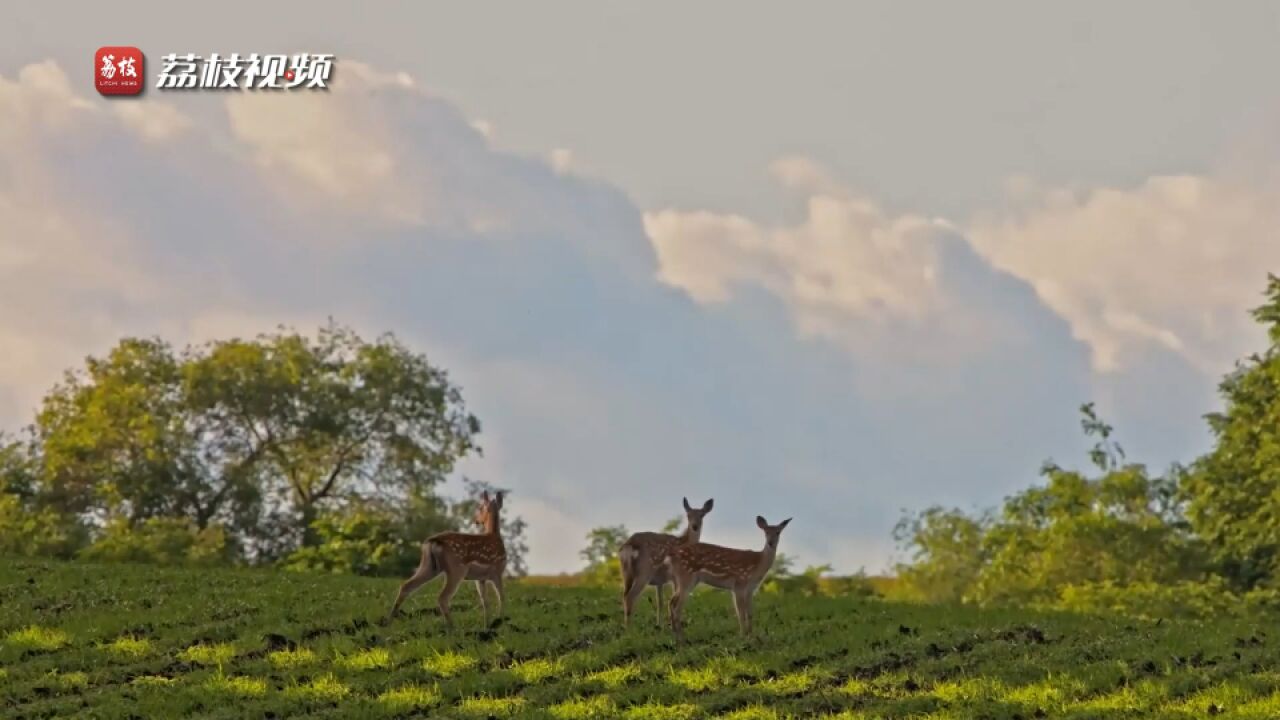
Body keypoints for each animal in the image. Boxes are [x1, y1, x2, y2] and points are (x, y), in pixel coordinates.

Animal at [386, 484, 506, 625]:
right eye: (480, 507)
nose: (476, 521)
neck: (495, 536)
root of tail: (432, 542)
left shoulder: (480, 578)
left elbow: (486, 602)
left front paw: (487, 624)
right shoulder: (497, 571)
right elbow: (501, 597)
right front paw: (500, 621)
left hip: (428, 566)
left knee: (406, 586)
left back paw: (388, 622)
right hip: (456, 569)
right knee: (442, 597)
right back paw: (452, 626)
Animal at [616, 497, 716, 625]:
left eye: (702, 515)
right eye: (688, 515)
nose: (695, 526)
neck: (684, 541)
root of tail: (629, 545)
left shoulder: (659, 581)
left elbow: (660, 602)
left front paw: (659, 625)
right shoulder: (675, 577)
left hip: (625, 573)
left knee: (624, 595)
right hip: (644, 572)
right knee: (630, 596)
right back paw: (629, 627)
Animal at [670, 512, 788, 640]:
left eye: (778, 532)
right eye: (765, 532)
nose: (771, 543)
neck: (758, 566)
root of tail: (672, 555)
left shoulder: (751, 589)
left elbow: (750, 613)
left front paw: (751, 635)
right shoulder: (739, 583)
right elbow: (741, 613)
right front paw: (743, 636)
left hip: (688, 580)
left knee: (672, 601)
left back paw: (676, 635)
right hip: (686, 576)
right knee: (677, 607)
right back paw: (682, 639)